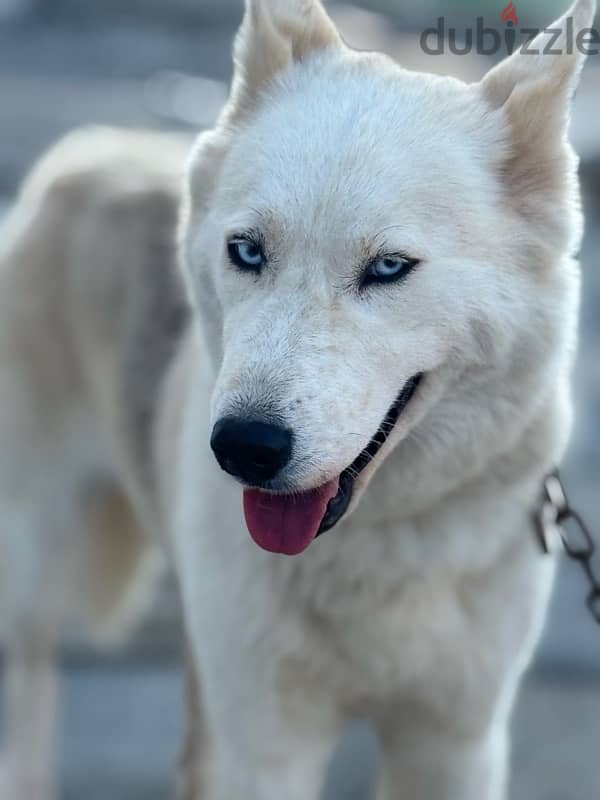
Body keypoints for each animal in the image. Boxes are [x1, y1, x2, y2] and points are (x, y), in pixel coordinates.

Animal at [0, 1, 596, 800]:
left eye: (388, 268)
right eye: (248, 251)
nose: (244, 448)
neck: (375, 544)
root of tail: (84, 148)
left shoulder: (454, 744)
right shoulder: (264, 749)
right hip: (34, 562)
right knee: (30, 680)